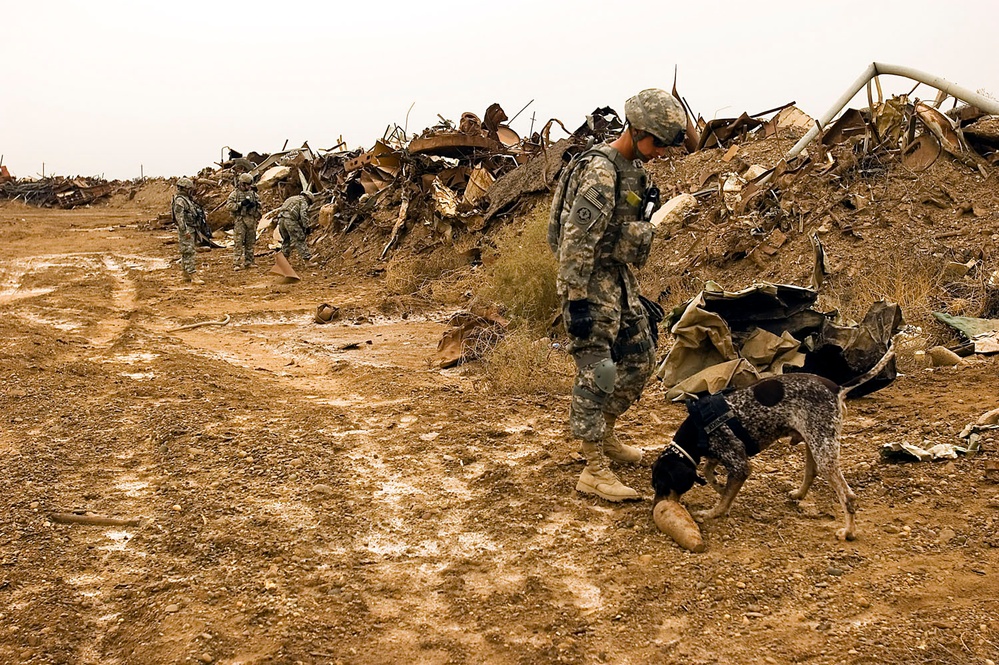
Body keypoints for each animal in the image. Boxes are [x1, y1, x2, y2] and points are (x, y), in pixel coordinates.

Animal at [652, 348, 896, 540]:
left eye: (661, 486)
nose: (655, 509)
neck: (698, 427)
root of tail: (837, 388)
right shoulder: (723, 453)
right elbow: (708, 470)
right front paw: (720, 486)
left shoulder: (740, 464)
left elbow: (722, 496)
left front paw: (714, 512)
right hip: (813, 441)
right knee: (811, 472)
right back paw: (799, 494)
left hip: (823, 448)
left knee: (848, 496)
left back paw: (848, 532)